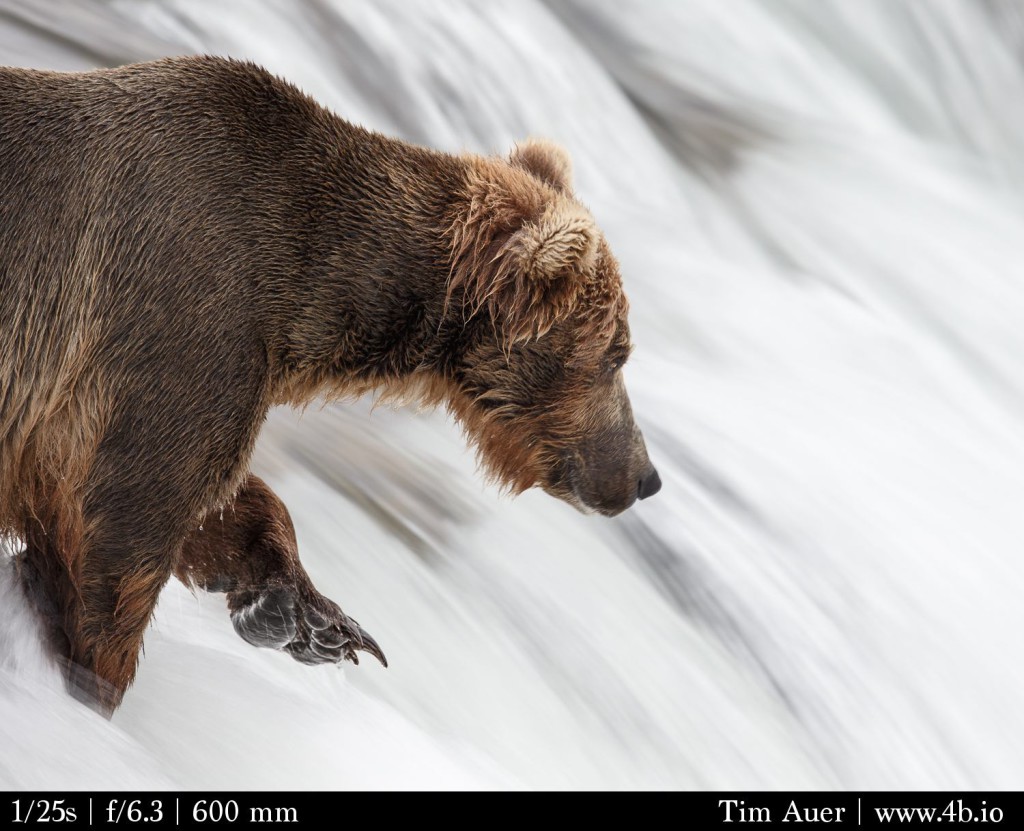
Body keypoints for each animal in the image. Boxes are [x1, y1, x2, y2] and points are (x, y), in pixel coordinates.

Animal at [0, 55, 659, 712]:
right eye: (618, 354)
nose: (645, 477)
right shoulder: (177, 327)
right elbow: (121, 528)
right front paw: (92, 685)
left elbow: (218, 502)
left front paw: (309, 619)